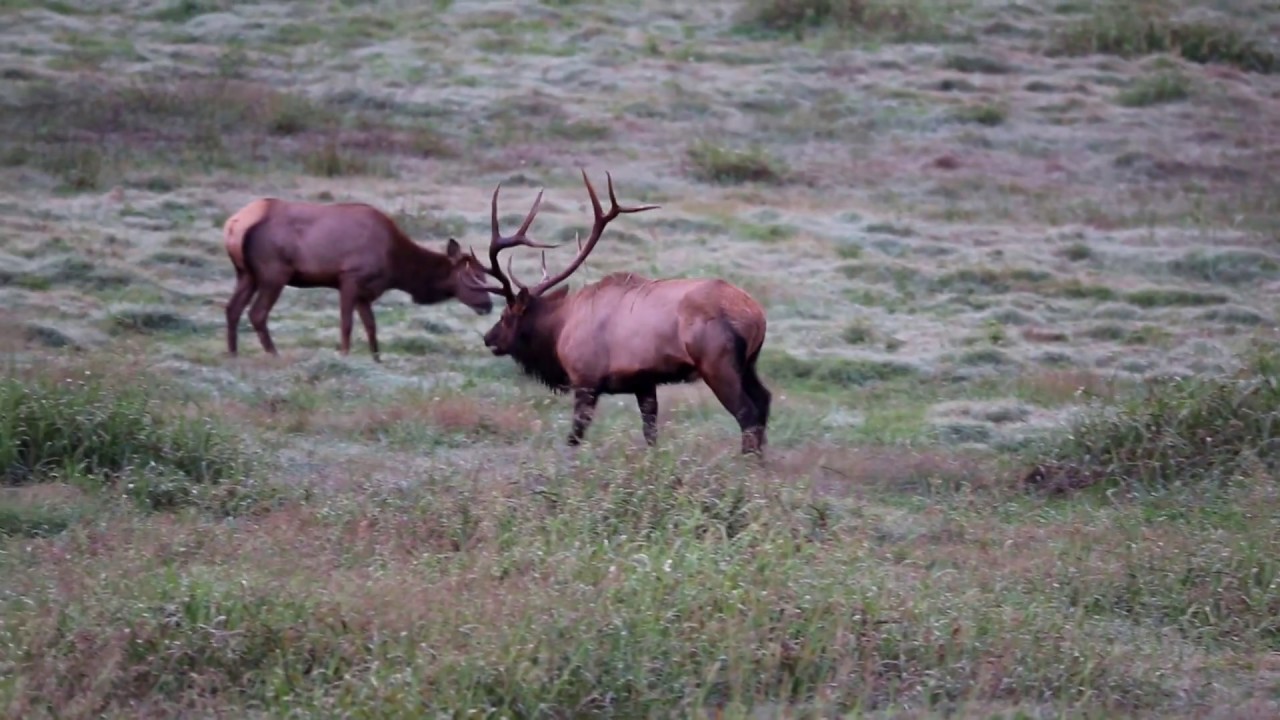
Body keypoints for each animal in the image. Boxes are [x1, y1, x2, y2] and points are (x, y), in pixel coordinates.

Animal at [221, 197, 496, 361]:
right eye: (473, 275)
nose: (488, 305)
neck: (395, 265)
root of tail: (234, 224)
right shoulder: (349, 277)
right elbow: (347, 324)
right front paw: (344, 355)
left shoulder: (366, 291)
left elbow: (371, 327)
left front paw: (377, 359)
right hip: (273, 272)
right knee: (257, 313)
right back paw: (274, 355)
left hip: (245, 273)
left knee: (232, 309)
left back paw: (233, 354)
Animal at [476, 169, 773, 456]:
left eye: (505, 316)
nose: (487, 338)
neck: (559, 331)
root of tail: (756, 315)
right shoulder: (644, 382)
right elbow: (650, 433)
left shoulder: (585, 380)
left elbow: (574, 436)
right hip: (748, 363)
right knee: (764, 401)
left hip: (717, 363)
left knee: (747, 413)